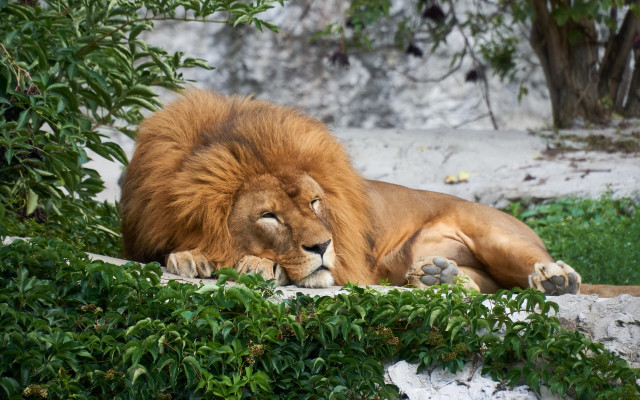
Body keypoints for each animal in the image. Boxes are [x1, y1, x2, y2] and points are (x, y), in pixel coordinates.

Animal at [120, 90, 640, 297]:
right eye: (269, 216)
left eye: (314, 203)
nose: (322, 246)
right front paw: (190, 257)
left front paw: (254, 264)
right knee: (478, 286)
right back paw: (438, 278)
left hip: (498, 236)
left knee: (536, 268)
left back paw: (555, 279)